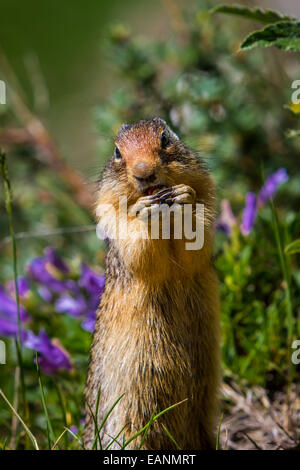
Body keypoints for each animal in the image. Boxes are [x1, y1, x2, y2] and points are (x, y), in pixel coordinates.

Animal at [84, 116, 220, 448]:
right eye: (117, 152)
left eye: (165, 138)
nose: (144, 173)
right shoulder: (115, 219)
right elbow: (137, 245)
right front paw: (145, 209)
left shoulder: (206, 197)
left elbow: (198, 234)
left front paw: (183, 196)